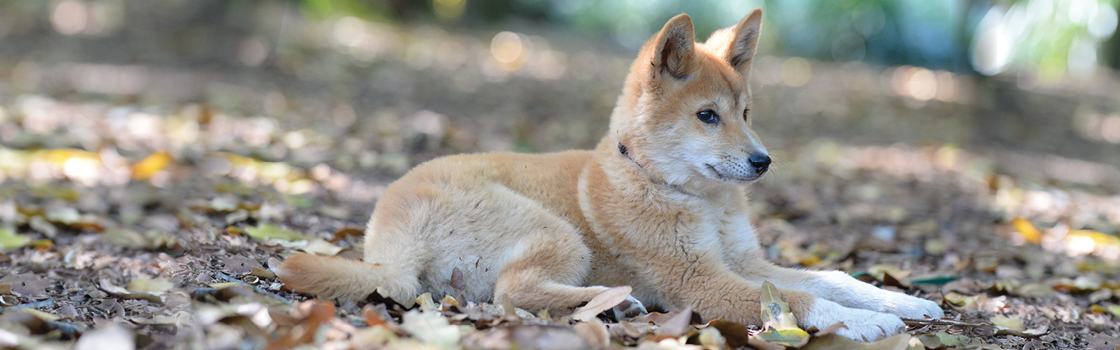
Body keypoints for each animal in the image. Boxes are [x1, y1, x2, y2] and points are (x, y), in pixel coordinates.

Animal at [275, 9, 940, 341]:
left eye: (747, 114)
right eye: (707, 116)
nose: (763, 161)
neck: (696, 199)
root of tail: (387, 239)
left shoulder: (744, 263)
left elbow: (832, 277)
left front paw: (901, 300)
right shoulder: (699, 281)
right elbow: (800, 299)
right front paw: (868, 323)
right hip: (555, 232)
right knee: (510, 294)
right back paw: (607, 305)